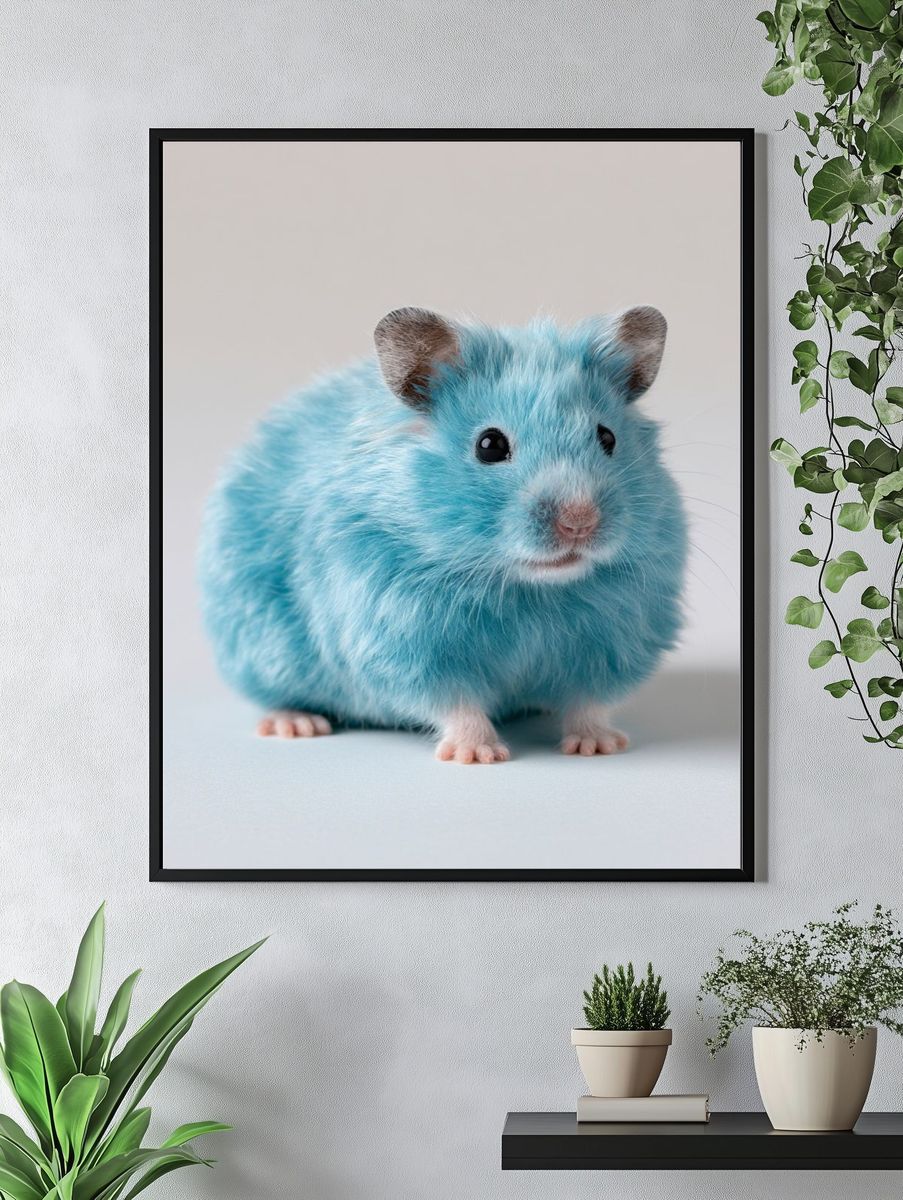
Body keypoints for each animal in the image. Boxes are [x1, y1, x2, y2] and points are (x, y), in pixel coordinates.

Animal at [199, 307, 687, 763]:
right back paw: (296, 725)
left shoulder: (615, 636)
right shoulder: (406, 638)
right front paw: (480, 755)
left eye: (607, 437)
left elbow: (588, 701)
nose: (579, 522)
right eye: (489, 445)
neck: (528, 590)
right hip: (258, 644)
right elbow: (457, 703)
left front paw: (599, 747)